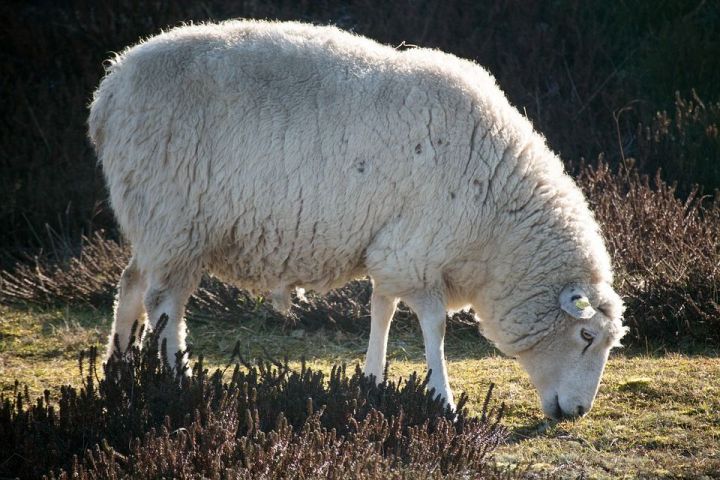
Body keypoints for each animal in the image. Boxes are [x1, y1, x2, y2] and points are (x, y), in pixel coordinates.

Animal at [90, 18, 628, 418]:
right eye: (586, 336)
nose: (578, 412)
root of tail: (108, 90)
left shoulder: (391, 250)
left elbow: (381, 309)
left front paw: (373, 379)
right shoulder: (417, 251)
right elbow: (433, 325)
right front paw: (443, 400)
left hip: (155, 222)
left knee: (131, 284)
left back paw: (121, 372)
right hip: (176, 220)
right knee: (165, 304)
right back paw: (176, 382)